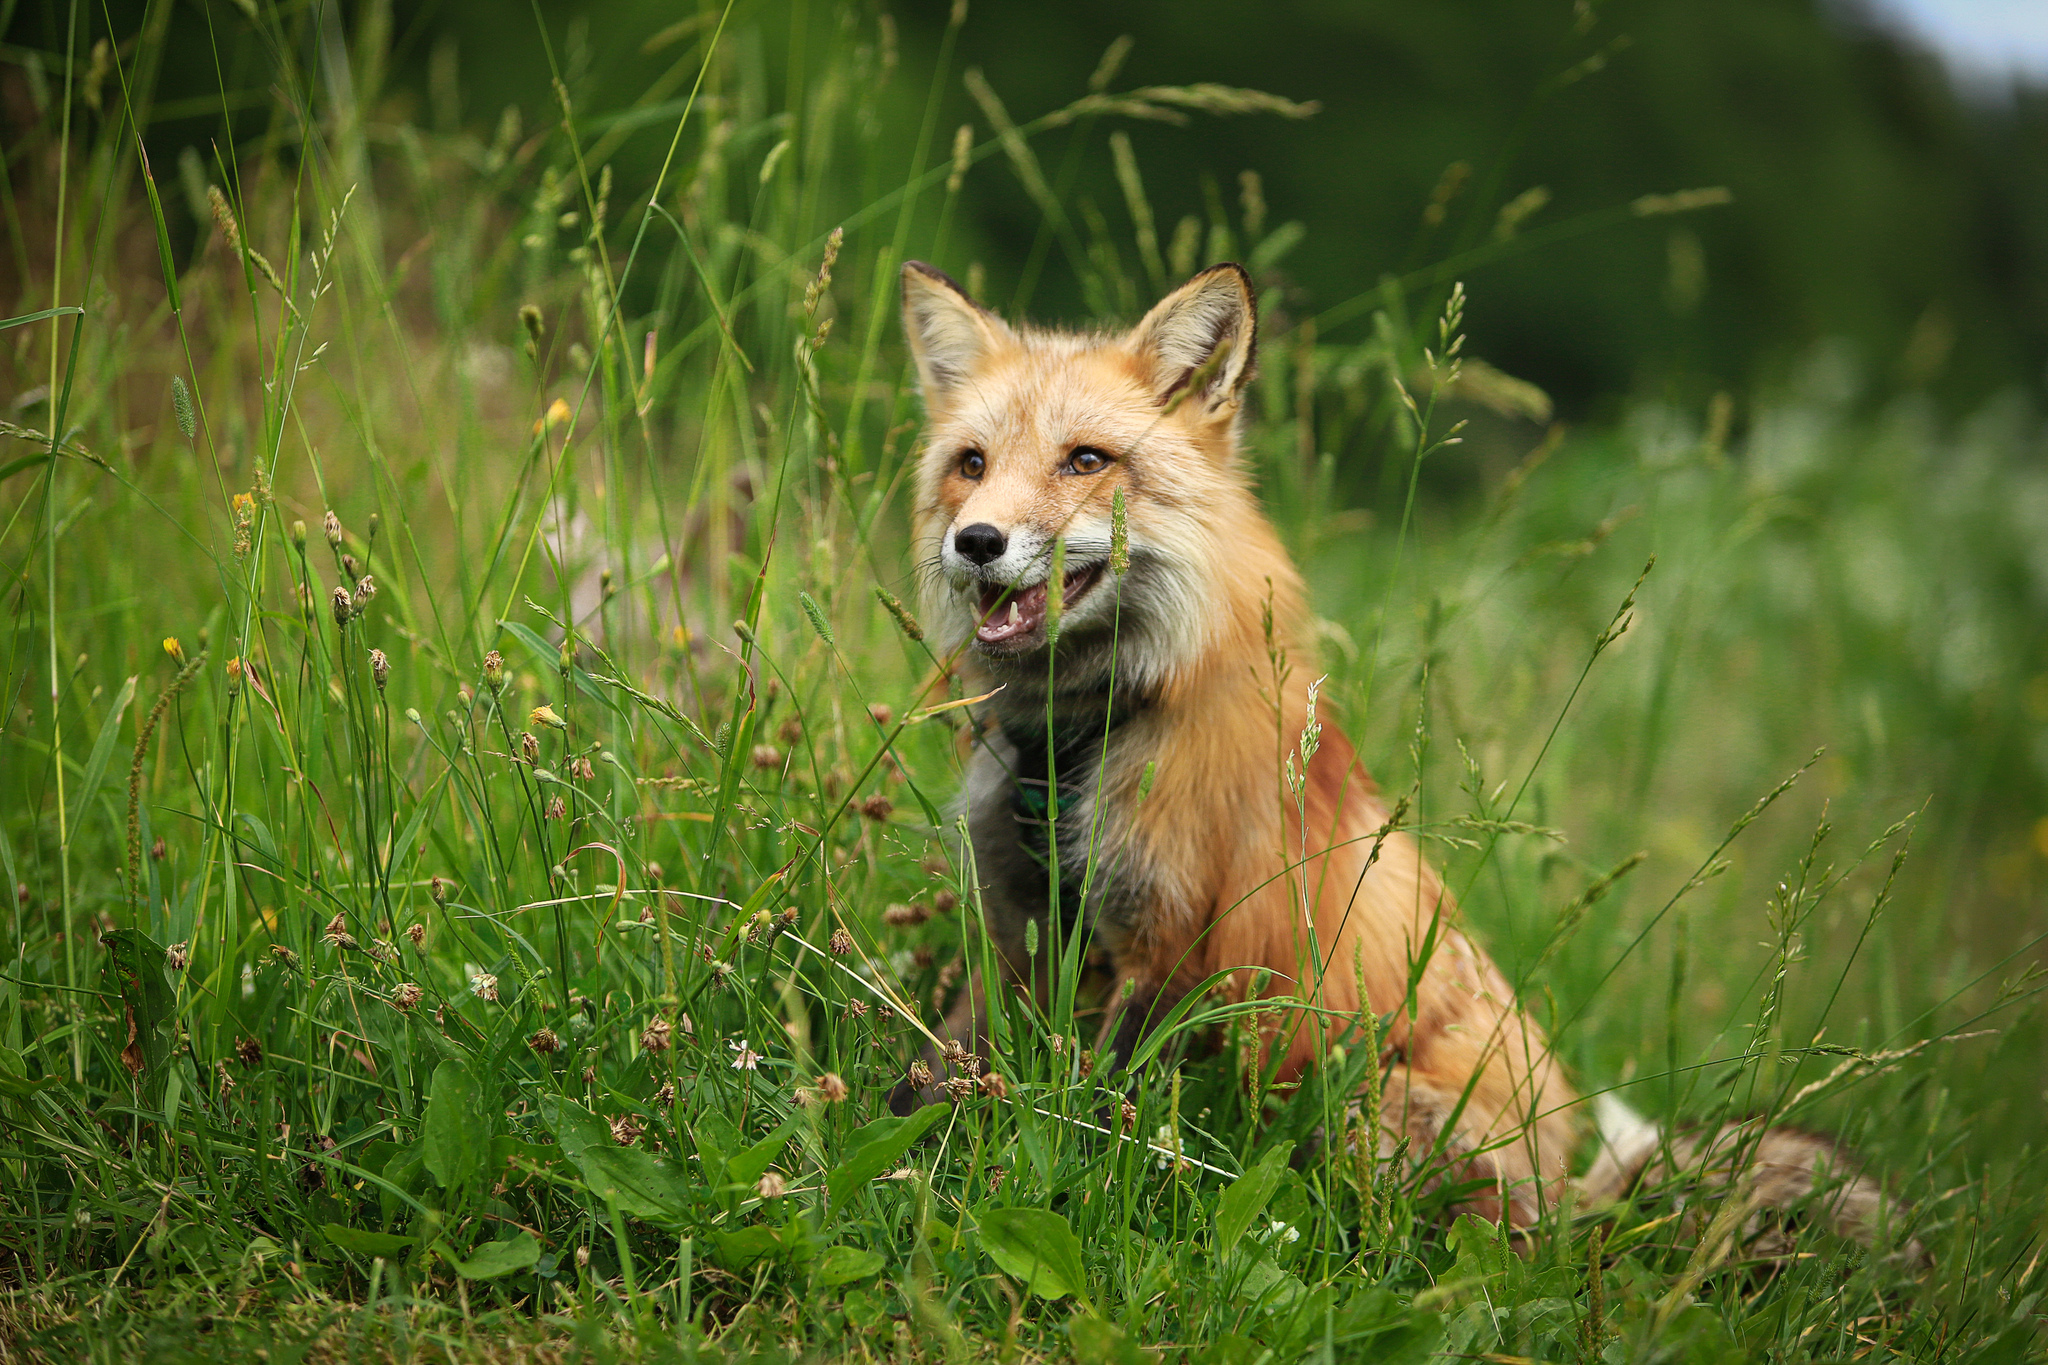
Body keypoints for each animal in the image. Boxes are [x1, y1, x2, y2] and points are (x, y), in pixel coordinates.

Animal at [897, 255, 1916, 1260]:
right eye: (972, 465)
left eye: (1085, 460)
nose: (976, 540)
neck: (1075, 743)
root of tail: (1576, 1206)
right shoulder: (1018, 927)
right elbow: (937, 1069)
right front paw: (902, 1151)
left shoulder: (1172, 947)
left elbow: (1092, 1106)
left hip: (1366, 1108)